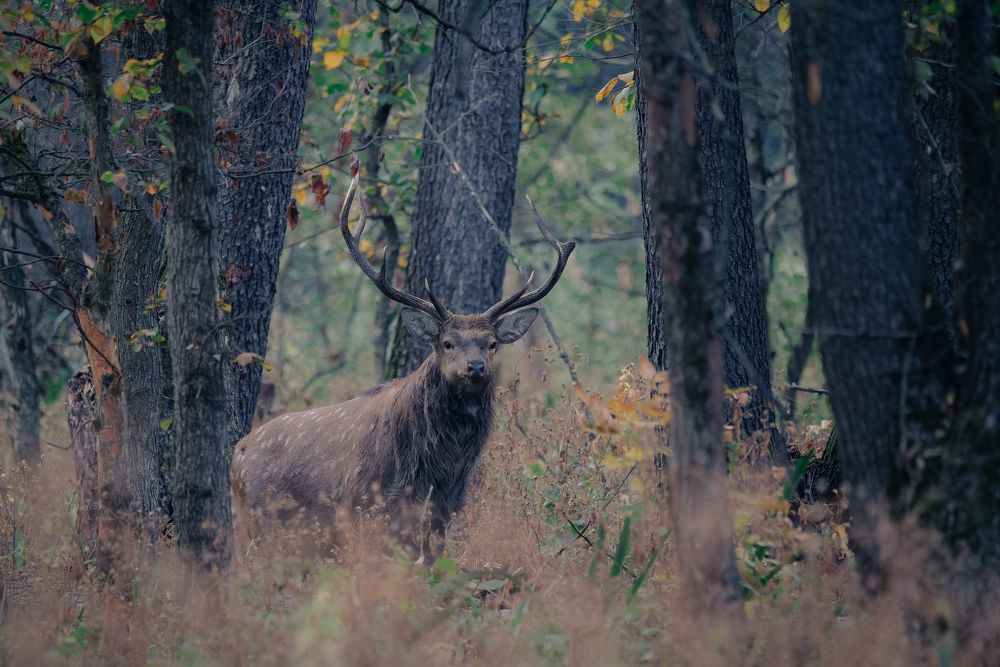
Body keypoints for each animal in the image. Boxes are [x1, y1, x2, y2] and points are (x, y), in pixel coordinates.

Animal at [230, 173, 575, 554]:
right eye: (446, 343)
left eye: (492, 343)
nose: (474, 368)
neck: (438, 470)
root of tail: (236, 455)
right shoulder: (361, 505)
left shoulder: (442, 514)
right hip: (264, 523)